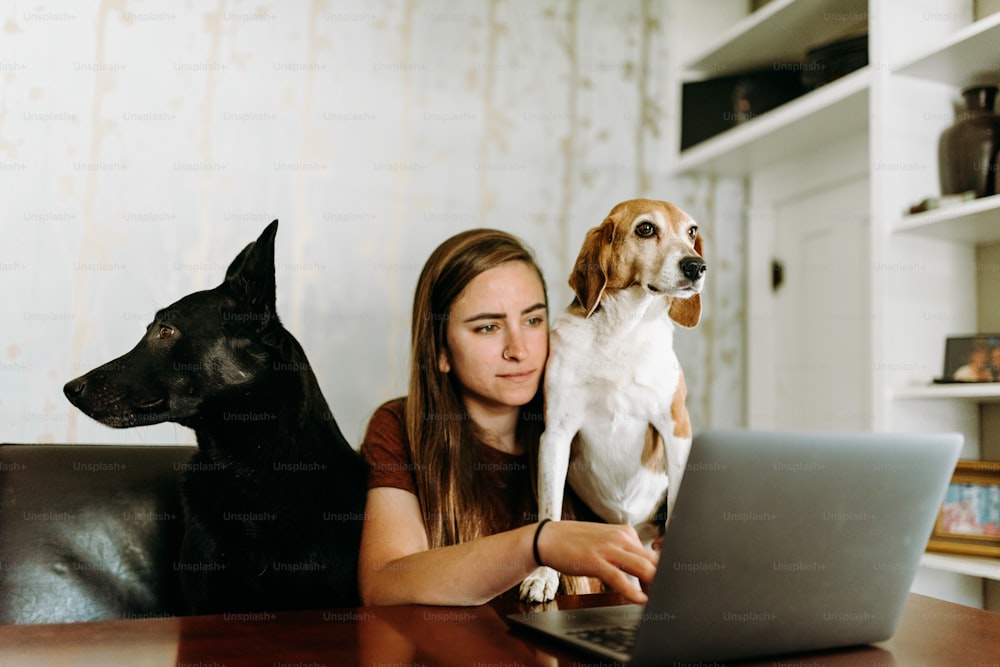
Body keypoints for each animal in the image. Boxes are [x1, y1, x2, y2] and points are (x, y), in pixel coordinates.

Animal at [520, 198, 708, 604]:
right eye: (646, 229)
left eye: (691, 232)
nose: (697, 266)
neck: (624, 330)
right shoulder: (555, 435)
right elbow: (549, 512)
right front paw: (543, 577)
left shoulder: (676, 429)